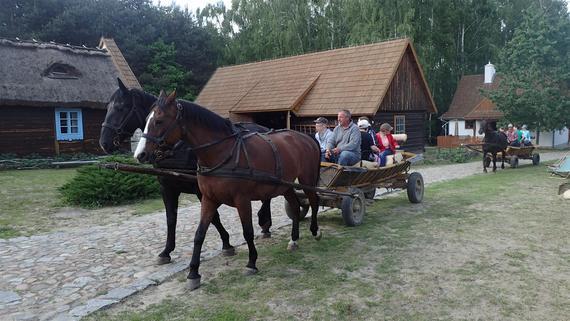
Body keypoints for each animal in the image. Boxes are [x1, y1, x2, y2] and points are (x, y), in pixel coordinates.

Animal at [98, 79, 272, 264]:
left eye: (120, 107)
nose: (104, 143)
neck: (179, 148)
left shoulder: (201, 190)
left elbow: (214, 217)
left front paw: (227, 243)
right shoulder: (168, 188)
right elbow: (171, 218)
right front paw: (166, 251)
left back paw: (265, 222)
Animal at [132, 90, 320, 290]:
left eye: (159, 121)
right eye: (146, 119)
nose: (140, 155)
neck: (222, 152)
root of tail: (306, 137)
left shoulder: (242, 200)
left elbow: (247, 231)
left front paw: (251, 262)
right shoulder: (208, 198)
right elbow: (199, 234)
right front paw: (193, 273)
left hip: (306, 180)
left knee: (314, 201)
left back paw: (315, 231)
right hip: (286, 185)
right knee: (295, 207)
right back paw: (294, 239)